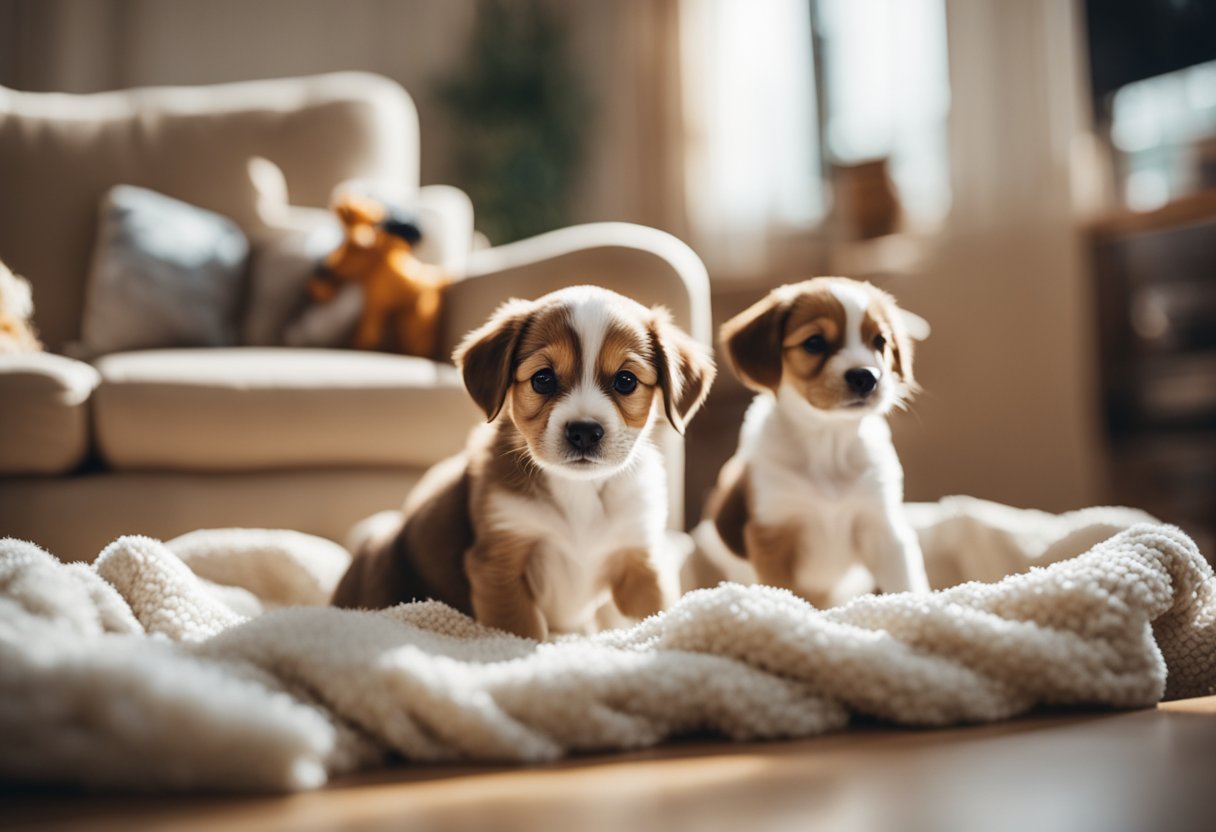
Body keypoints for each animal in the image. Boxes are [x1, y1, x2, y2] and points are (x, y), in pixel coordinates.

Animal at [333, 282, 710, 642]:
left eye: (626, 381)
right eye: (543, 379)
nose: (584, 432)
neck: (579, 491)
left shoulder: (640, 564)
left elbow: (651, 617)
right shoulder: (500, 564)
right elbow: (523, 634)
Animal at [695, 276, 929, 608]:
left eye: (880, 341)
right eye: (814, 342)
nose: (866, 377)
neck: (827, 444)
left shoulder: (883, 527)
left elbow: (906, 584)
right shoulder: (772, 533)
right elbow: (783, 591)